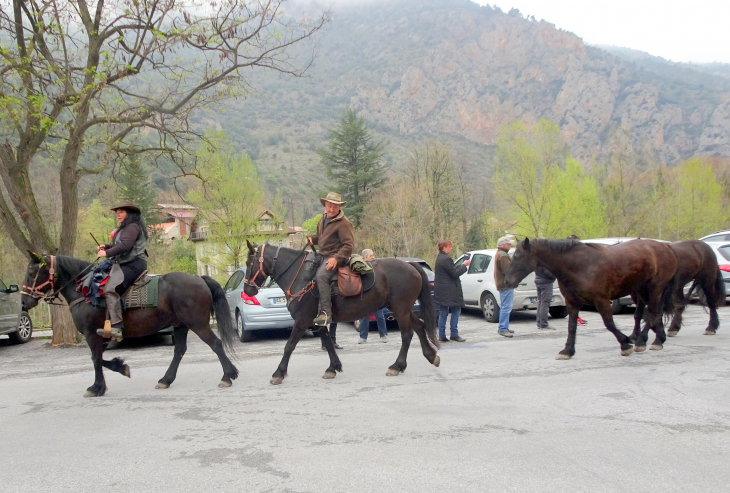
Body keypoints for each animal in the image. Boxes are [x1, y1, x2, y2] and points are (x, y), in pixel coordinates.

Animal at [21, 254, 237, 396]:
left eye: (32, 271)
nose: (23, 301)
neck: (85, 291)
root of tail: (199, 279)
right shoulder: (102, 336)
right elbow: (99, 359)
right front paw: (119, 367)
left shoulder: (92, 335)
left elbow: (95, 359)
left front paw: (97, 387)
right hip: (181, 325)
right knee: (179, 351)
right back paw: (166, 380)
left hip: (198, 324)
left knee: (216, 344)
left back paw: (227, 376)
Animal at [243, 240, 438, 382]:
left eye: (249, 262)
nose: (247, 290)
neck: (300, 277)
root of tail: (411, 265)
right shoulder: (318, 321)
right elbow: (329, 343)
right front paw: (333, 367)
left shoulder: (302, 321)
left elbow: (289, 346)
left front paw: (279, 373)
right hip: (401, 308)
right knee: (419, 327)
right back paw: (430, 356)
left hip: (400, 309)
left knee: (407, 334)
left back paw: (397, 365)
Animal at [500, 238, 676, 358]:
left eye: (517, 256)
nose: (507, 281)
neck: (580, 266)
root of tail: (666, 246)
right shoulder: (572, 303)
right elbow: (571, 327)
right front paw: (568, 351)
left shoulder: (602, 300)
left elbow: (609, 324)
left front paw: (625, 344)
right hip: (643, 291)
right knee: (654, 314)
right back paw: (658, 339)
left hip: (655, 288)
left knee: (652, 313)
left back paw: (642, 341)